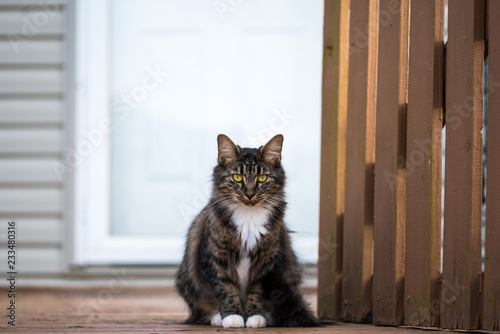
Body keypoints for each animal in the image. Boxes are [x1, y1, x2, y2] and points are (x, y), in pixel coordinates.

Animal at [174, 134, 318, 328]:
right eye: (237, 177)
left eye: (262, 178)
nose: (250, 194)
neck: (249, 217)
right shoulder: (215, 259)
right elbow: (226, 290)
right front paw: (232, 318)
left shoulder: (265, 264)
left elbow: (255, 293)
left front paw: (255, 317)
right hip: (187, 281)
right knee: (201, 310)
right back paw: (217, 317)